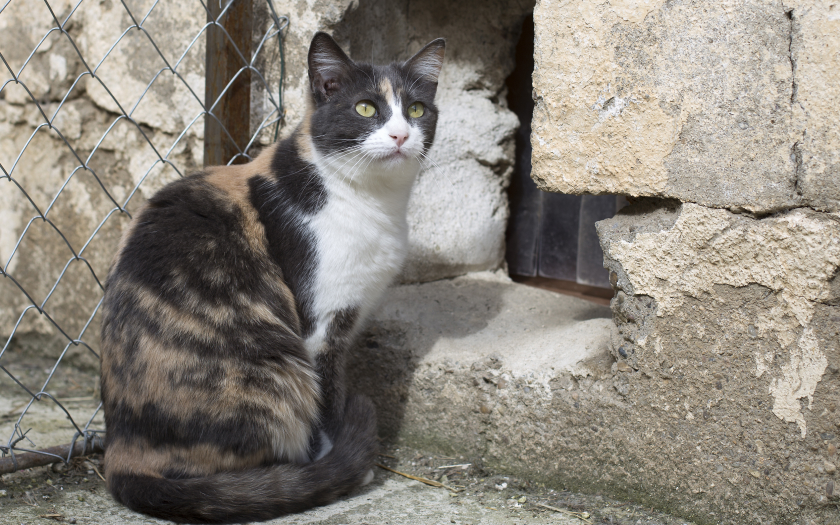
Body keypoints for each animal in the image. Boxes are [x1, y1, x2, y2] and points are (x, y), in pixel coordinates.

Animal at [99, 33, 446, 524]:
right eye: (365, 108)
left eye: (416, 109)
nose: (400, 134)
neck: (373, 201)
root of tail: (119, 454)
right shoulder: (320, 330)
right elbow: (327, 407)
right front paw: (340, 466)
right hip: (275, 367)